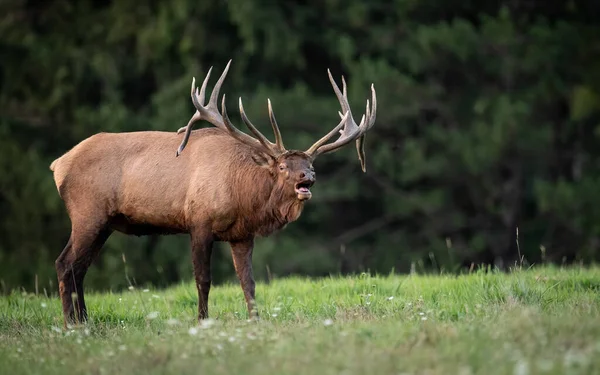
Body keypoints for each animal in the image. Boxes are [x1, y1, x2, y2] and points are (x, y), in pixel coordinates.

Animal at [50, 60, 376, 328]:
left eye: (310, 164)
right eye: (283, 166)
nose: (308, 177)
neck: (243, 196)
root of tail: (58, 164)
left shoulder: (242, 235)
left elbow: (249, 282)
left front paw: (256, 321)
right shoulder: (199, 221)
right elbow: (203, 280)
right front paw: (202, 321)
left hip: (104, 223)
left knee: (79, 268)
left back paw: (84, 321)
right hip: (87, 212)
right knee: (65, 264)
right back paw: (70, 324)